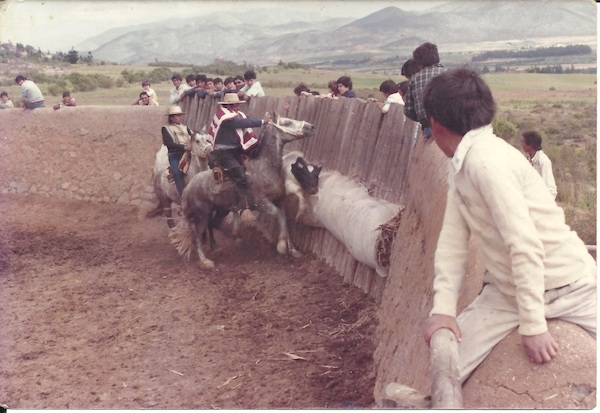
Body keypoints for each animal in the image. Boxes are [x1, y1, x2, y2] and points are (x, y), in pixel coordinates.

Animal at [169, 112, 314, 268]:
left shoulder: (278, 199)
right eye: (287, 123)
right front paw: (281, 246)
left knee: (213, 223)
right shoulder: (262, 203)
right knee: (197, 236)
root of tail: (188, 187)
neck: (264, 167)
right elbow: (279, 216)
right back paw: (206, 260)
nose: (311, 127)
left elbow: (286, 218)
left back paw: (222, 244)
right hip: (202, 214)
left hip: (220, 209)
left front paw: (294, 249)